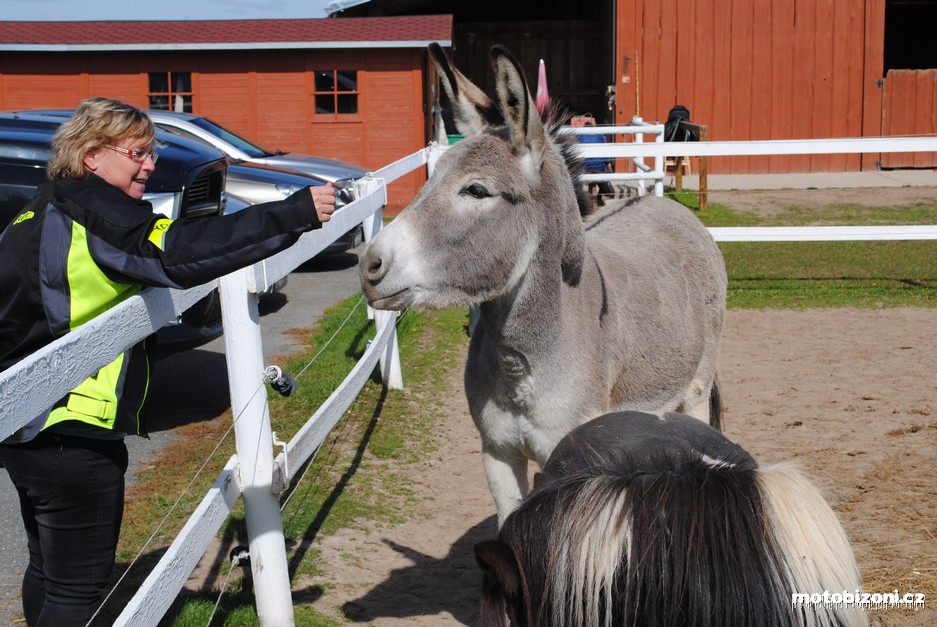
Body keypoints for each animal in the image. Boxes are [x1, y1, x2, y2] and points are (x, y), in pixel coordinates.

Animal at [354, 44, 728, 524]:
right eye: (430, 178)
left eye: (477, 191)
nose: (369, 266)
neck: (521, 363)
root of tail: (660, 204)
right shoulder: (496, 454)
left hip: (695, 386)